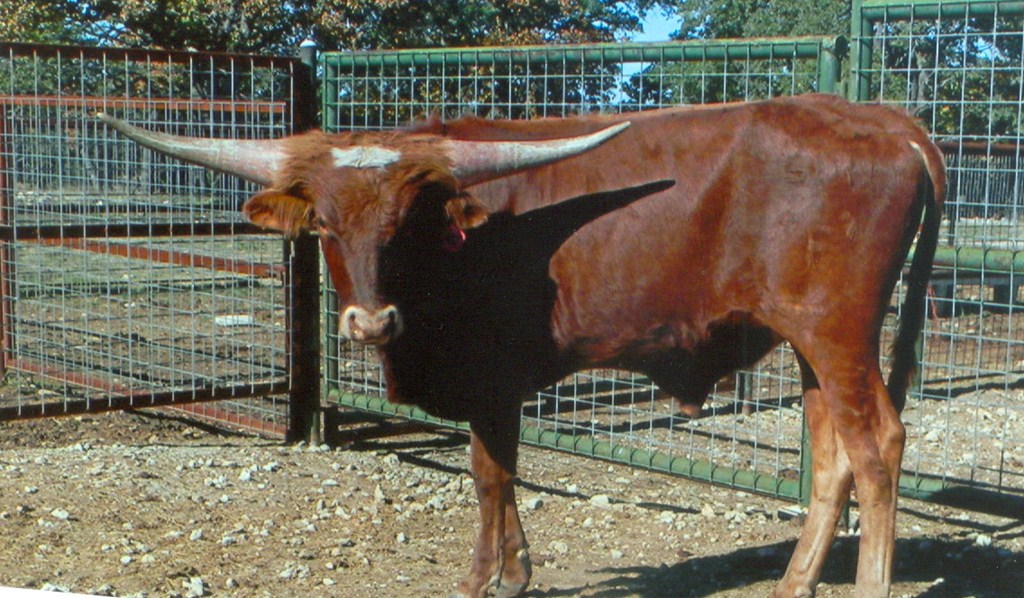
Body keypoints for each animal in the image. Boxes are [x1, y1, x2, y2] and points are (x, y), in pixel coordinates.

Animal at [99, 93, 945, 598]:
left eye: (408, 221)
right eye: (328, 227)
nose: (371, 323)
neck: (461, 248)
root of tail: (884, 120)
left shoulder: (491, 376)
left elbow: (488, 474)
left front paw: (487, 577)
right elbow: (500, 474)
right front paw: (514, 570)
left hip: (838, 333)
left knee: (877, 448)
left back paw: (868, 583)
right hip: (808, 341)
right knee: (833, 455)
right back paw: (795, 583)